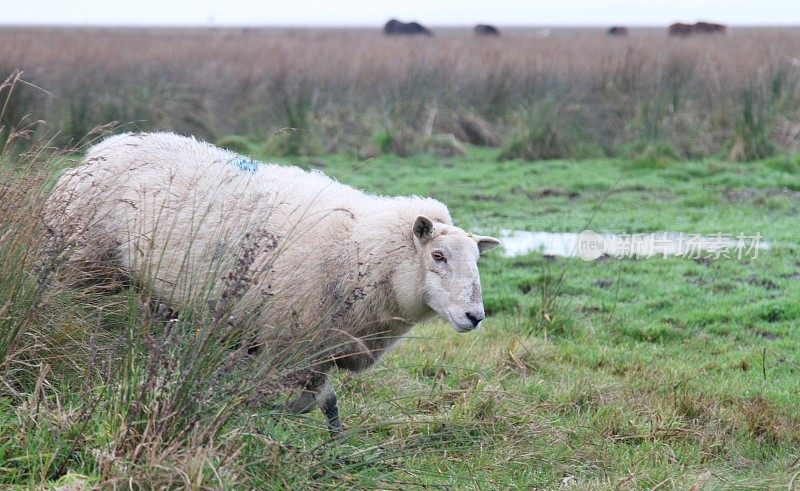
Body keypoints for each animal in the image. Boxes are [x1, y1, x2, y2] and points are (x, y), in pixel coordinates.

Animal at [45, 133, 500, 432]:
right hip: (82, 263)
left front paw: (331, 437)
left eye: (477, 260)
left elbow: (321, 402)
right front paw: (260, 413)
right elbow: (309, 399)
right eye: (438, 256)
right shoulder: (291, 339)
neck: (367, 251)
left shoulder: (318, 345)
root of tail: (96, 151)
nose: (475, 316)